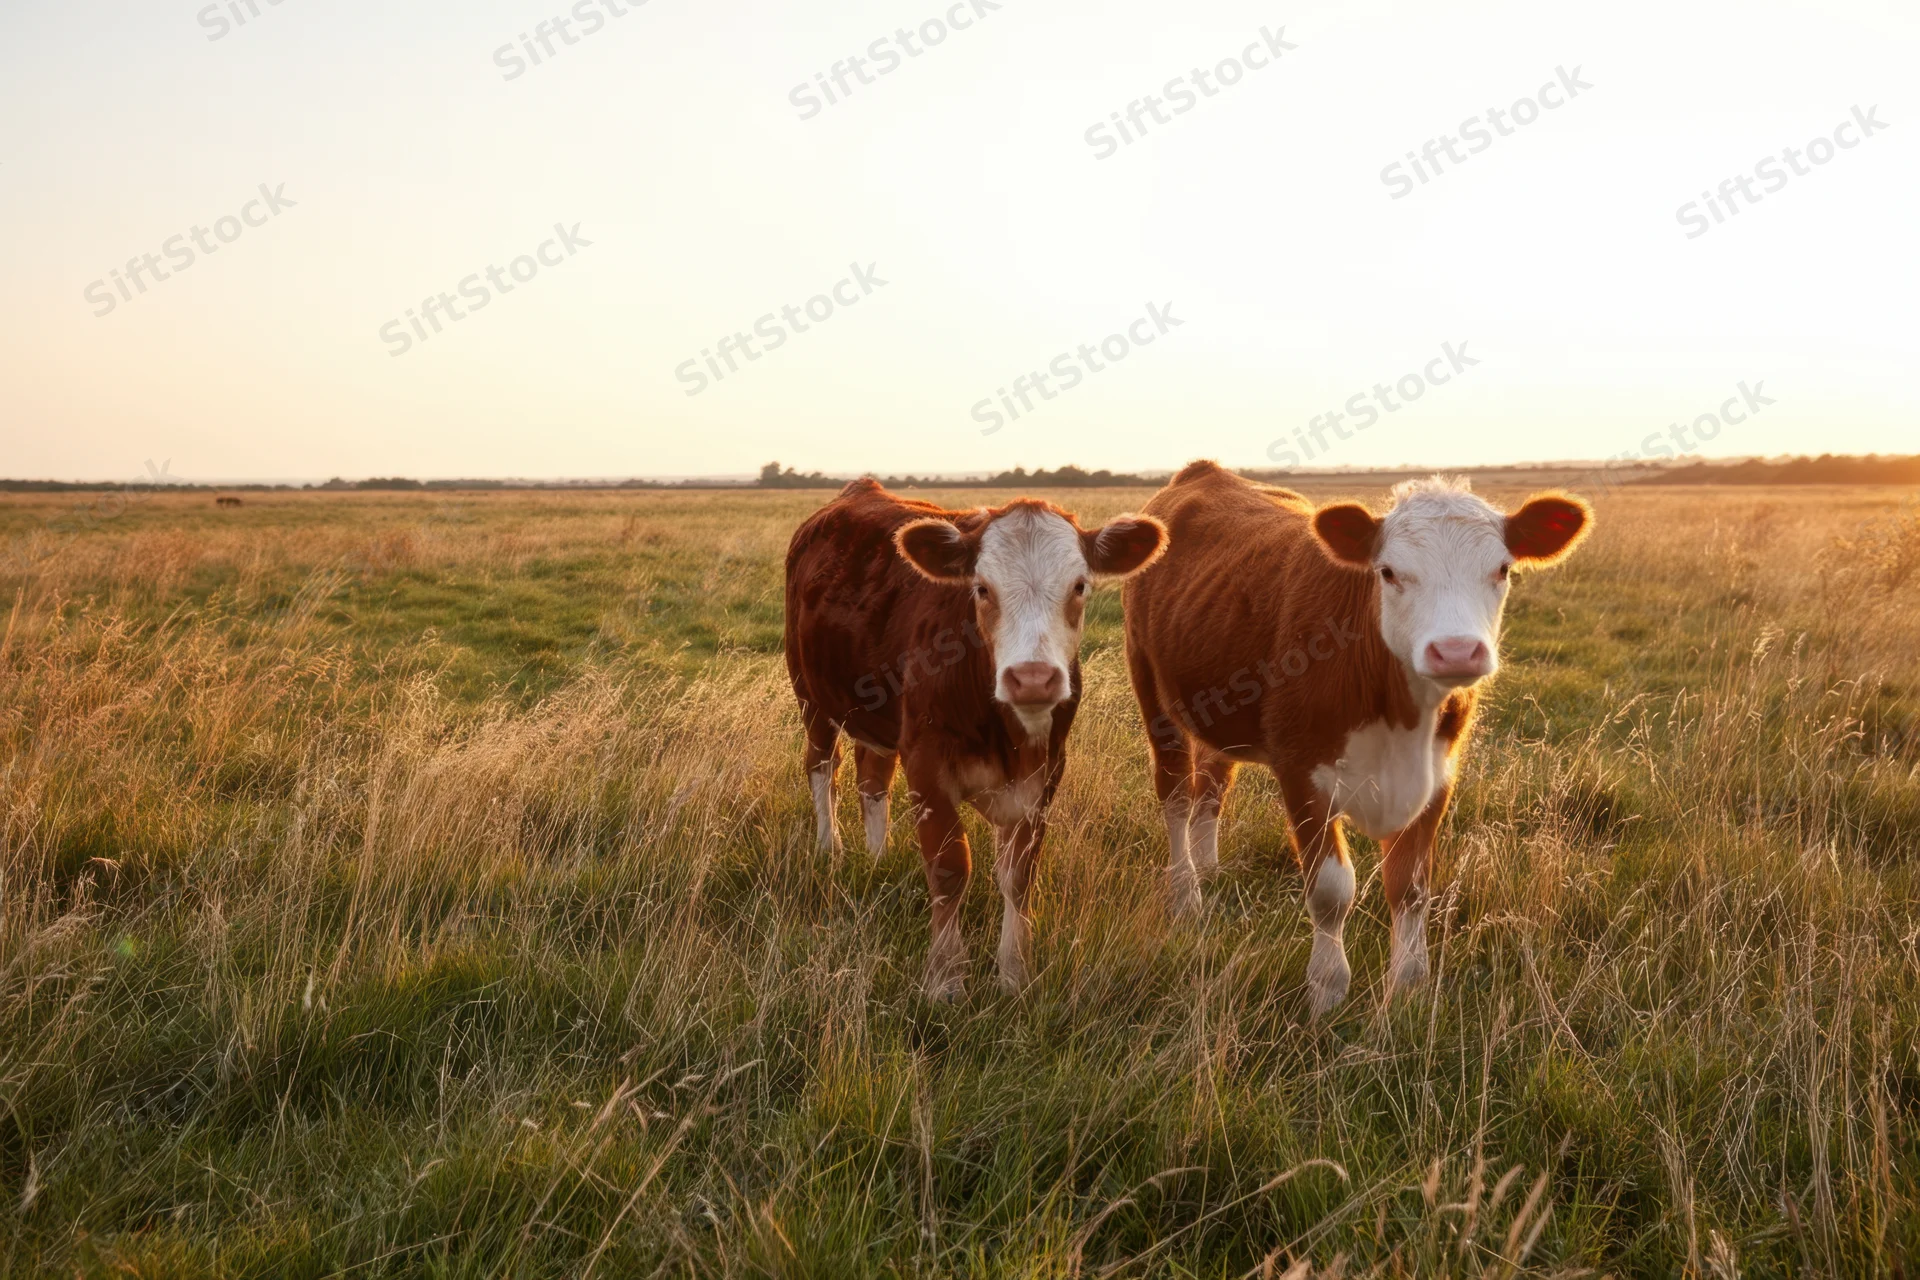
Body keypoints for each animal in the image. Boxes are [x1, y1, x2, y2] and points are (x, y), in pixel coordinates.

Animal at [785, 478, 1167, 999]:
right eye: (982, 589)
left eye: (1079, 586)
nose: (1032, 678)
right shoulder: (926, 765)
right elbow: (949, 869)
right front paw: (946, 979)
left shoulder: (1045, 773)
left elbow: (1019, 876)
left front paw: (1014, 973)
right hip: (811, 695)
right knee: (824, 768)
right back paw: (832, 849)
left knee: (873, 778)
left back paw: (877, 858)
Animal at [1122, 462, 1591, 1015]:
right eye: (1387, 572)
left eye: (1502, 569)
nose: (1456, 651)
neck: (1399, 713)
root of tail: (1203, 472)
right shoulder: (1301, 769)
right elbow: (1330, 890)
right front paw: (1327, 989)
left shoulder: (1438, 773)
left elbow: (1410, 885)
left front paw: (1408, 988)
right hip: (1153, 693)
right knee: (1175, 793)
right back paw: (1186, 895)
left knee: (1212, 785)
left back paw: (1210, 870)